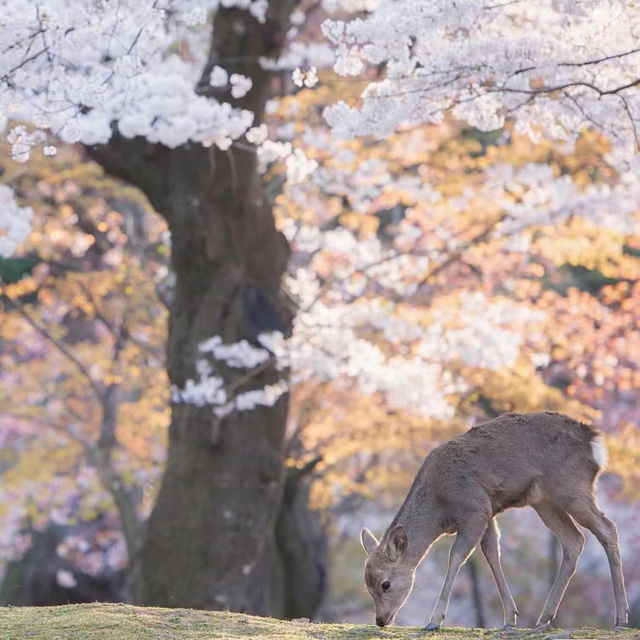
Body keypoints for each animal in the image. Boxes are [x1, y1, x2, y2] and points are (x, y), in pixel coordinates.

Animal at [362, 412, 628, 628]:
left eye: (385, 584)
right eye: (367, 584)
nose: (380, 620)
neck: (440, 507)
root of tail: (595, 444)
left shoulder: (474, 507)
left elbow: (456, 556)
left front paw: (435, 620)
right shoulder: (487, 511)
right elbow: (491, 553)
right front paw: (510, 617)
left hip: (571, 487)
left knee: (608, 528)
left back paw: (621, 617)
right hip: (544, 500)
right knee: (574, 540)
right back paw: (544, 617)